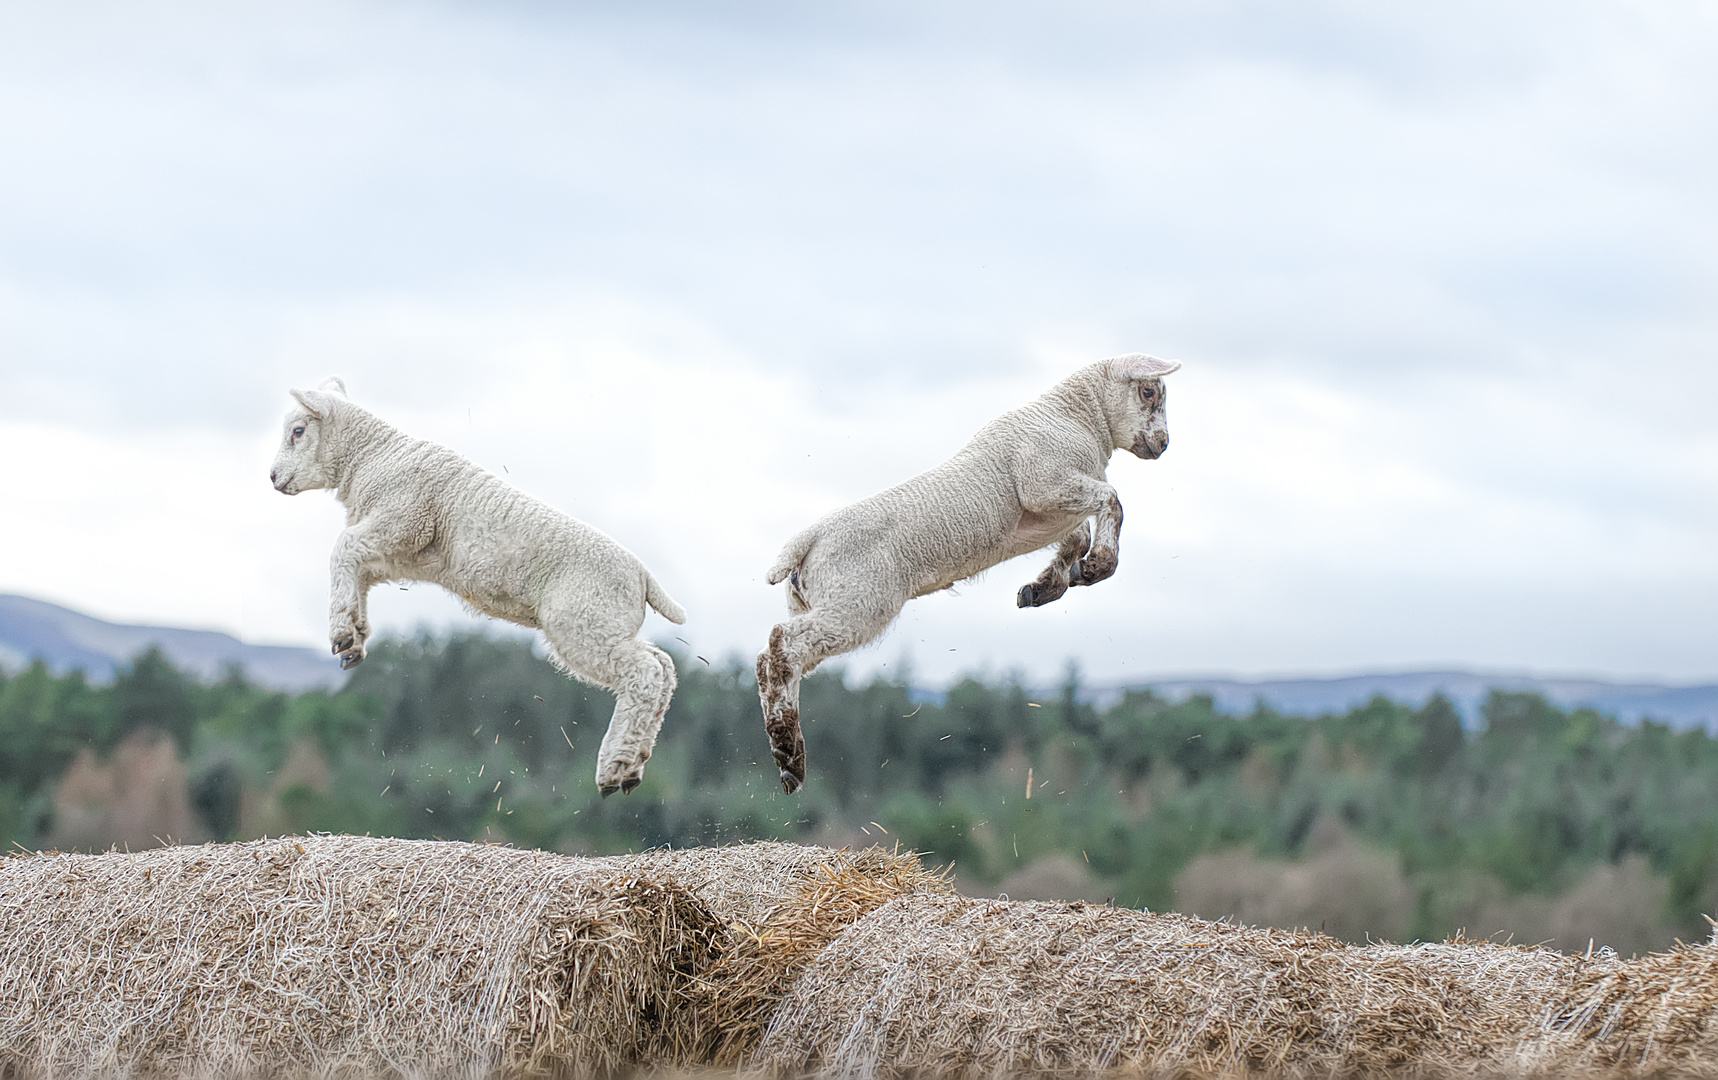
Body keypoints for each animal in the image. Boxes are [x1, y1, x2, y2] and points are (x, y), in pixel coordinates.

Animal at [268, 377, 683, 793]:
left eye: (298, 431)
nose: (272, 477)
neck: (374, 457)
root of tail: (644, 577)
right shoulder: (396, 550)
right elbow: (357, 571)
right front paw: (354, 638)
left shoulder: (401, 520)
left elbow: (342, 547)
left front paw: (341, 632)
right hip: (608, 622)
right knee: (663, 668)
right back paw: (632, 766)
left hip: (584, 621)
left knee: (644, 673)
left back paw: (613, 767)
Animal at [755, 353, 1181, 793]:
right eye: (1148, 392)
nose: (1163, 444)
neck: (1077, 416)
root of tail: (807, 541)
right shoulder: (1044, 483)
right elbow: (1111, 501)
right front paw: (1098, 566)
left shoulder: (1053, 513)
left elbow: (1077, 538)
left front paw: (1044, 587)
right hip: (858, 600)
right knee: (782, 645)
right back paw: (787, 750)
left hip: (814, 601)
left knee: (775, 661)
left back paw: (788, 756)